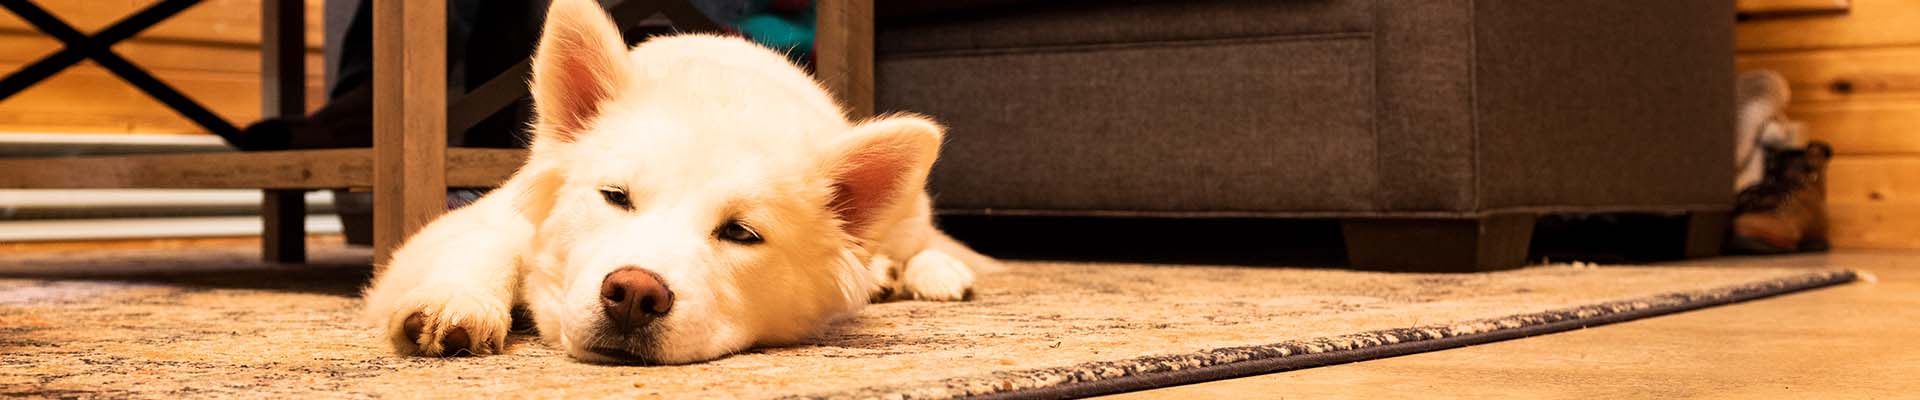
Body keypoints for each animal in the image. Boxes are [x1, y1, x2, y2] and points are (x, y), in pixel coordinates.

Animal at [360, 0, 998, 363]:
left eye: (741, 233)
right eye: (615, 197)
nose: (634, 295)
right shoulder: (492, 214)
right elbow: (484, 248)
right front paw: (456, 301)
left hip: (908, 214)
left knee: (918, 242)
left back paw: (925, 272)